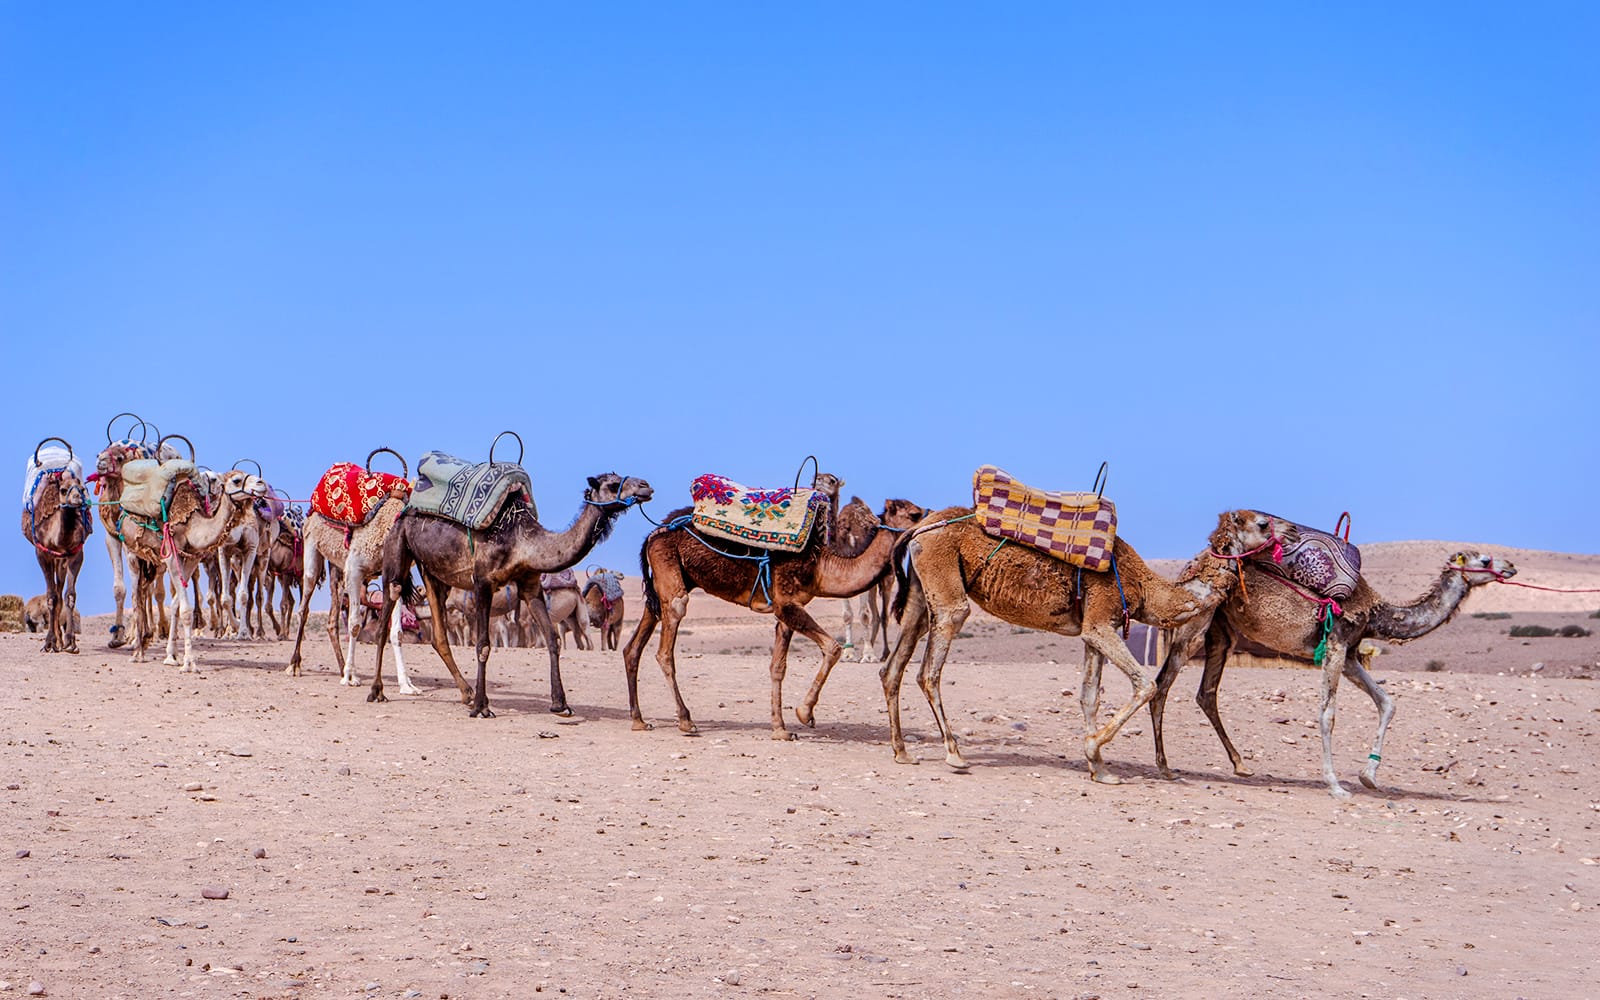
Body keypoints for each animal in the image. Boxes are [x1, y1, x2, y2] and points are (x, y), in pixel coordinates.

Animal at [21, 439, 93, 654]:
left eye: (82, 488)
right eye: (63, 490)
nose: (78, 499)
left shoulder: (75, 553)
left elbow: (69, 595)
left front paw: (70, 642)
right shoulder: (42, 553)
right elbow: (51, 597)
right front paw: (49, 642)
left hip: (60, 559)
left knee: (61, 591)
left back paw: (61, 641)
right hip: (53, 558)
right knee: (54, 593)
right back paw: (55, 642)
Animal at [371, 471, 654, 717]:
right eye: (612, 484)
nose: (646, 486)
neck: (523, 542)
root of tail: (403, 511)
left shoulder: (530, 585)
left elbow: (552, 639)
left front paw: (560, 704)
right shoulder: (482, 582)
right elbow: (483, 645)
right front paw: (482, 707)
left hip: (434, 573)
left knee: (439, 635)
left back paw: (466, 693)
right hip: (397, 550)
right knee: (386, 616)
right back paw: (377, 691)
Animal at [622, 496, 927, 740]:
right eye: (914, 513)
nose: (930, 518)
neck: (819, 564)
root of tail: (652, 534)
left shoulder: (786, 610)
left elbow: (777, 667)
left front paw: (781, 729)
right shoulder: (787, 604)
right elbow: (833, 648)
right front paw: (805, 713)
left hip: (665, 583)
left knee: (632, 647)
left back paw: (639, 720)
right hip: (670, 578)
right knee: (665, 646)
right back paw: (686, 721)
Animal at [871, 509, 1289, 783]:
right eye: (1262, 522)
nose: (1289, 533)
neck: (1146, 588)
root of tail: (919, 529)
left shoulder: (1094, 629)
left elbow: (1089, 696)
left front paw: (1099, 768)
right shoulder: (1102, 620)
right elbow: (1145, 684)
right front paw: (1093, 749)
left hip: (920, 594)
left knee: (892, 668)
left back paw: (902, 752)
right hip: (946, 588)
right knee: (929, 670)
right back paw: (955, 754)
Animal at [1144, 550, 1516, 798]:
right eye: (1485, 560)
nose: (1511, 567)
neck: (1376, 614)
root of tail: (1188, 568)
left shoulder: (1351, 654)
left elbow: (1387, 702)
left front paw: (1369, 776)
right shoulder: (1336, 643)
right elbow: (1328, 714)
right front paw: (1336, 785)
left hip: (1222, 632)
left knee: (1206, 692)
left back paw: (1241, 765)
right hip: (1194, 624)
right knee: (1161, 685)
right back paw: (1165, 768)